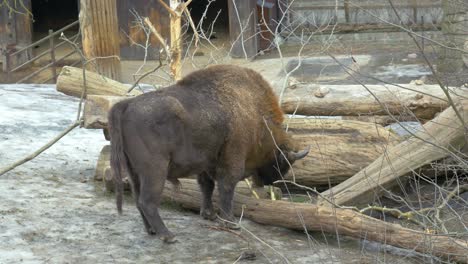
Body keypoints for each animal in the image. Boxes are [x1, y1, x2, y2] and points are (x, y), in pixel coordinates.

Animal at [108, 65, 308, 242]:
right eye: (281, 162)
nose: (267, 182)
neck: (255, 112)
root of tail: (126, 105)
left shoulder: (206, 164)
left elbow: (207, 187)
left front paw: (209, 215)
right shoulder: (232, 160)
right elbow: (226, 188)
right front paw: (231, 223)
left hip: (134, 172)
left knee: (137, 199)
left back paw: (151, 231)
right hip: (154, 170)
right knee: (147, 201)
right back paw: (168, 236)